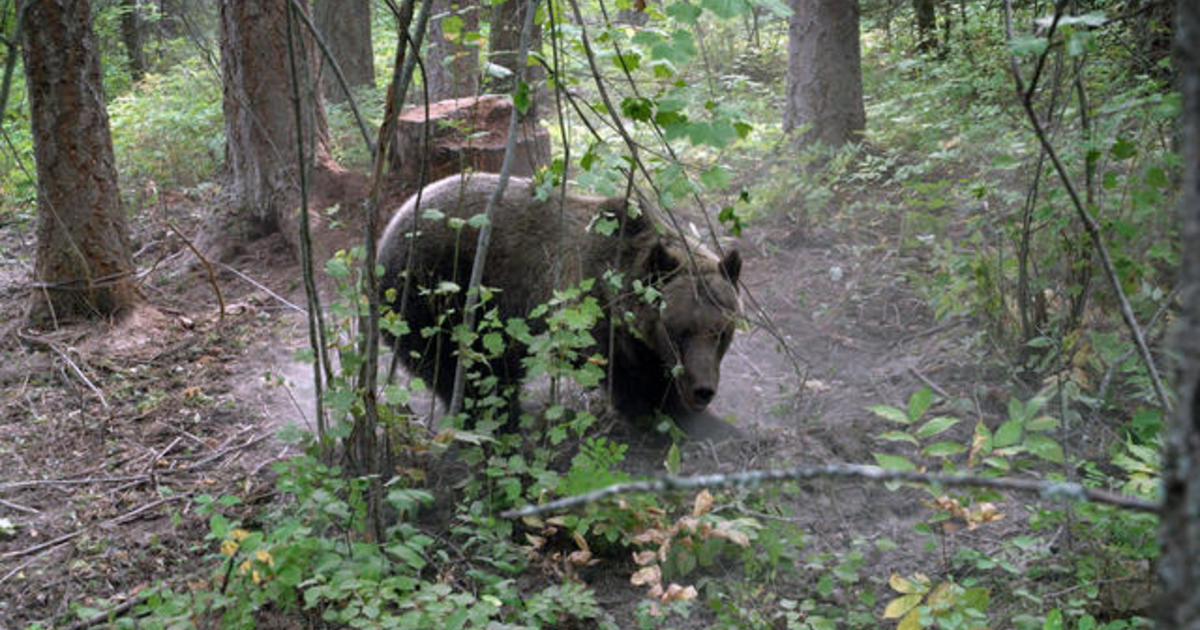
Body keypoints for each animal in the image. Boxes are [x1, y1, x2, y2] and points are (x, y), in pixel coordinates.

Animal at [379, 174, 744, 424]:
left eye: (722, 332)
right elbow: (620, 368)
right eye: (679, 331)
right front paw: (647, 406)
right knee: (458, 362)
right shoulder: (591, 307)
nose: (703, 389)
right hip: (437, 288)